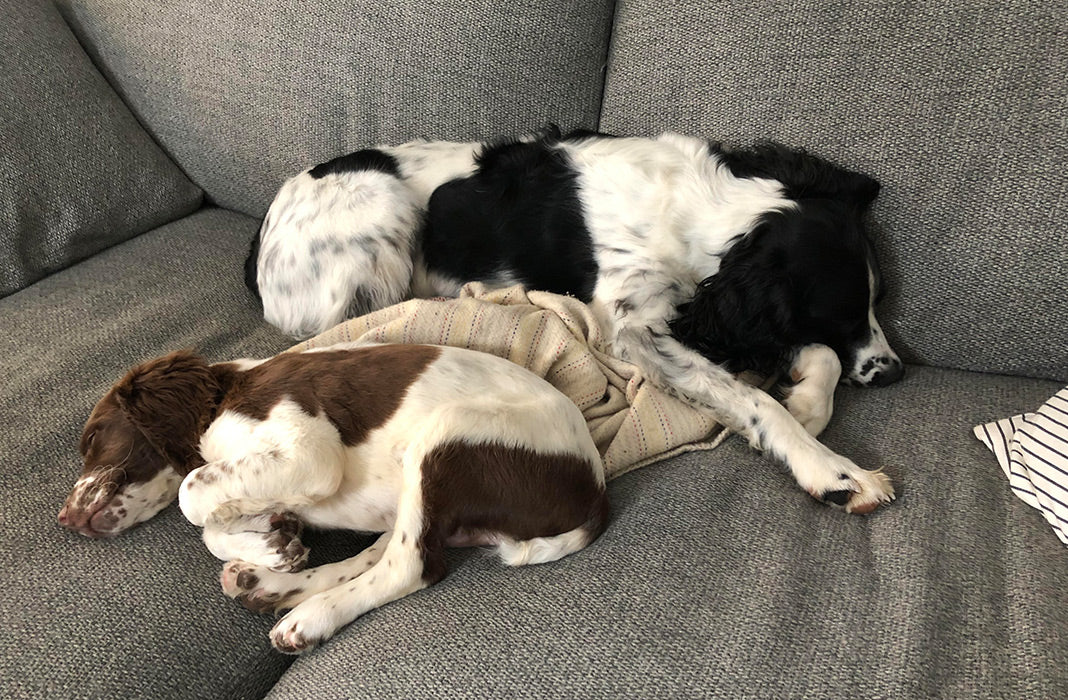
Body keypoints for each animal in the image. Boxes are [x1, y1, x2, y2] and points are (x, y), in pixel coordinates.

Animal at [58, 341, 610, 654]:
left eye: (94, 438)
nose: (65, 519)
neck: (224, 394)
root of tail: (596, 492)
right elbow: (216, 521)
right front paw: (270, 543)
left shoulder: (310, 453)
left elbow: (193, 494)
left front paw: (260, 538)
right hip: (417, 492)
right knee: (383, 552)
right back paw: (270, 586)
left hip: (447, 430)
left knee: (411, 565)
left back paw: (309, 616)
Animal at [247, 129, 901, 515]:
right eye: (843, 310)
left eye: (876, 300)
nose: (895, 372)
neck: (709, 209)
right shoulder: (636, 330)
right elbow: (755, 397)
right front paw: (833, 468)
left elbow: (812, 354)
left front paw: (809, 400)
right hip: (388, 209)